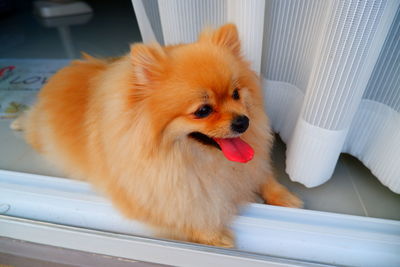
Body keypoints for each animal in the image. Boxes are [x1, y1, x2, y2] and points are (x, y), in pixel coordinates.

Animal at [12, 24, 302, 248]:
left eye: (236, 94)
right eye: (203, 111)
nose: (243, 121)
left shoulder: (250, 166)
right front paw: (216, 236)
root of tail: (63, 71)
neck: (201, 160)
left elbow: (263, 176)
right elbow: (185, 216)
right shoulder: (150, 194)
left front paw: (285, 197)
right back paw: (18, 122)